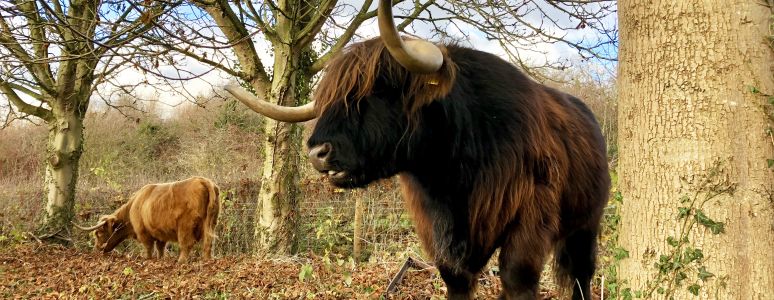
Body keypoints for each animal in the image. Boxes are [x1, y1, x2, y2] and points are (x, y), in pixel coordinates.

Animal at [224, 1, 612, 298]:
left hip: (585, 224)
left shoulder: (528, 225)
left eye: (380, 89)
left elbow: (517, 279)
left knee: (582, 274)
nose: (317, 152)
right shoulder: (444, 245)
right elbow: (457, 281)